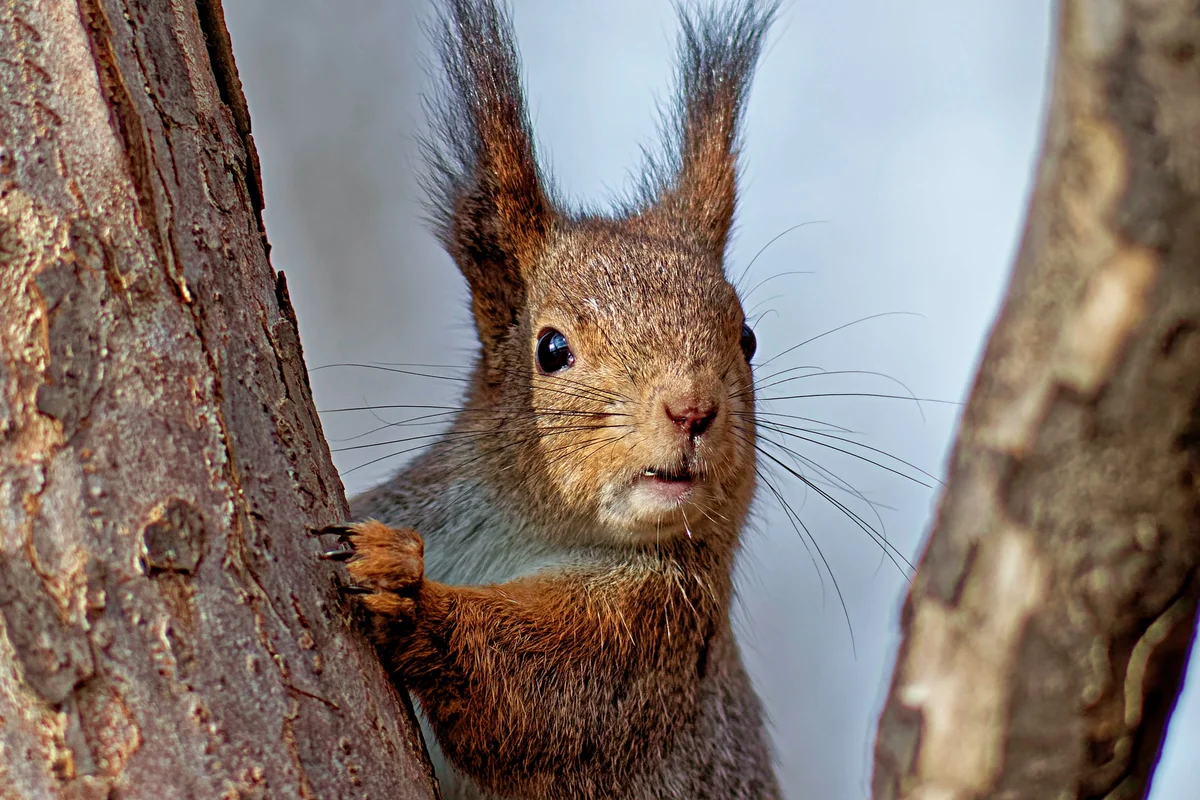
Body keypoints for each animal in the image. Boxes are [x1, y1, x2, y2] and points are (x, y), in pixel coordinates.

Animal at [319, 1, 782, 800]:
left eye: (747, 339)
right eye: (553, 349)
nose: (691, 410)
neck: (527, 526)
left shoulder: (654, 639)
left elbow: (541, 696)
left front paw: (404, 590)